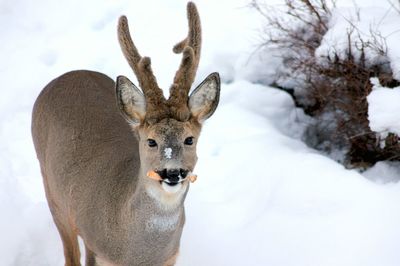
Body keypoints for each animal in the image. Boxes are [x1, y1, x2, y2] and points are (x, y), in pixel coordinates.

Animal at [31, 2, 220, 266]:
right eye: (150, 141)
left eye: (189, 139)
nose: (173, 172)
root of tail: (68, 74)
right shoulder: (94, 246)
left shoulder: (170, 258)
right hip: (54, 195)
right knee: (70, 253)